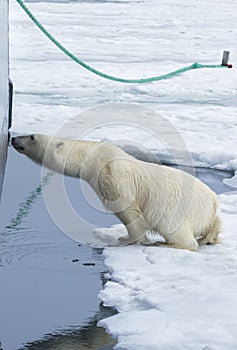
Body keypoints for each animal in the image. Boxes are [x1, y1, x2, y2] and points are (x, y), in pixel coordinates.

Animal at [12, 133, 220, 250]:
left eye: (32, 136)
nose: (13, 138)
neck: (93, 158)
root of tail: (213, 202)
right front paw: (124, 236)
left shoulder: (113, 176)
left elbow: (127, 209)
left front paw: (124, 240)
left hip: (177, 207)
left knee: (174, 228)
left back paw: (167, 243)